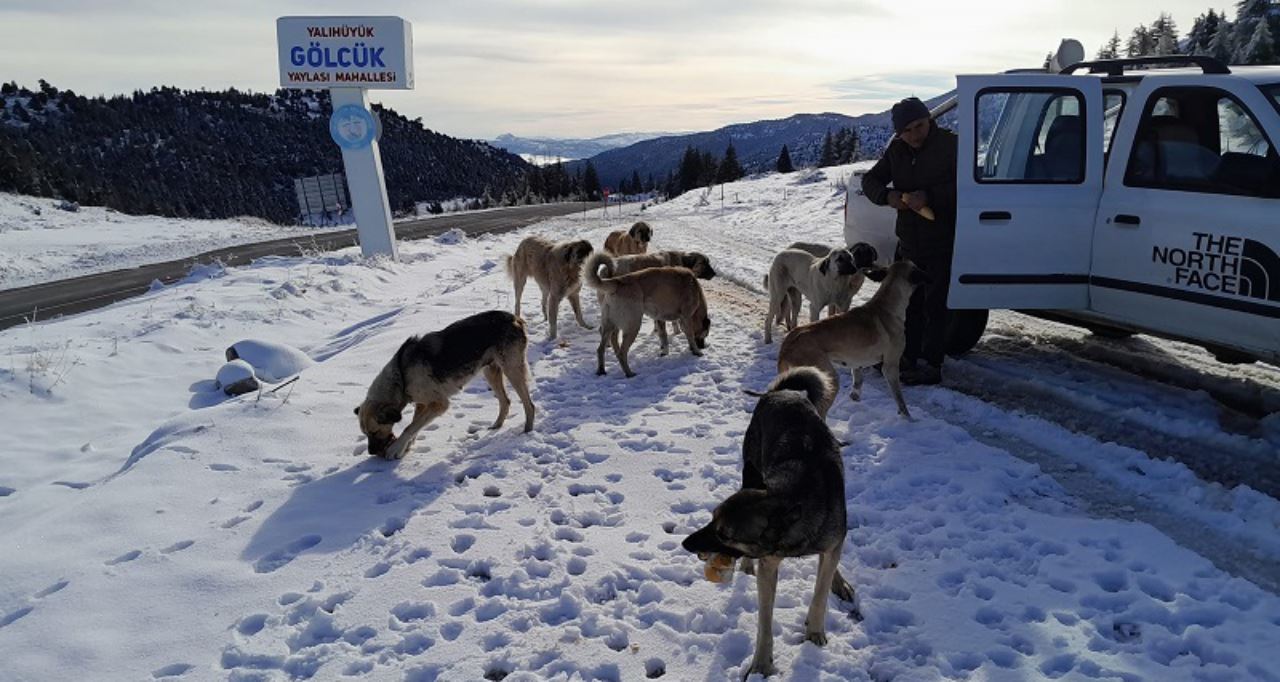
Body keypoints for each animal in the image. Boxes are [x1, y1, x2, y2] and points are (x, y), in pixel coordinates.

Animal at [353, 310, 532, 460]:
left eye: (374, 432)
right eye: (365, 434)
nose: (371, 452)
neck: (401, 375)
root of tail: (514, 318)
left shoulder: (439, 404)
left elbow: (409, 427)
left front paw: (396, 449)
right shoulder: (422, 404)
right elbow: (414, 426)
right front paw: (405, 446)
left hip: (511, 369)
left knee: (529, 405)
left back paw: (528, 430)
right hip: (491, 371)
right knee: (505, 401)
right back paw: (497, 425)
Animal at [583, 249, 711, 378]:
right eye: (704, 335)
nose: (703, 347)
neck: (696, 290)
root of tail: (618, 282)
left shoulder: (660, 318)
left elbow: (664, 336)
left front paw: (665, 351)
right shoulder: (686, 317)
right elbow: (689, 336)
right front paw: (696, 351)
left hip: (609, 325)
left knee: (601, 348)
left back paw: (601, 370)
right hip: (633, 326)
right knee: (621, 353)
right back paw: (629, 373)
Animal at [686, 368, 855, 675]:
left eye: (725, 535)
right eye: (712, 518)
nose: (685, 544)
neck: (791, 499)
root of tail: (781, 392)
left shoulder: (830, 540)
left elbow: (820, 592)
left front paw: (814, 632)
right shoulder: (769, 564)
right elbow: (765, 620)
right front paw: (762, 664)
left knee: (831, 559)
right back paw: (746, 565)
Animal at [768, 261, 931, 417]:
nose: (928, 275)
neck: (886, 306)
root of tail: (787, 345)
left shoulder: (857, 362)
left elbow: (857, 383)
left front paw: (855, 399)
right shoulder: (890, 365)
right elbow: (900, 399)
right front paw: (908, 418)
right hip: (829, 378)